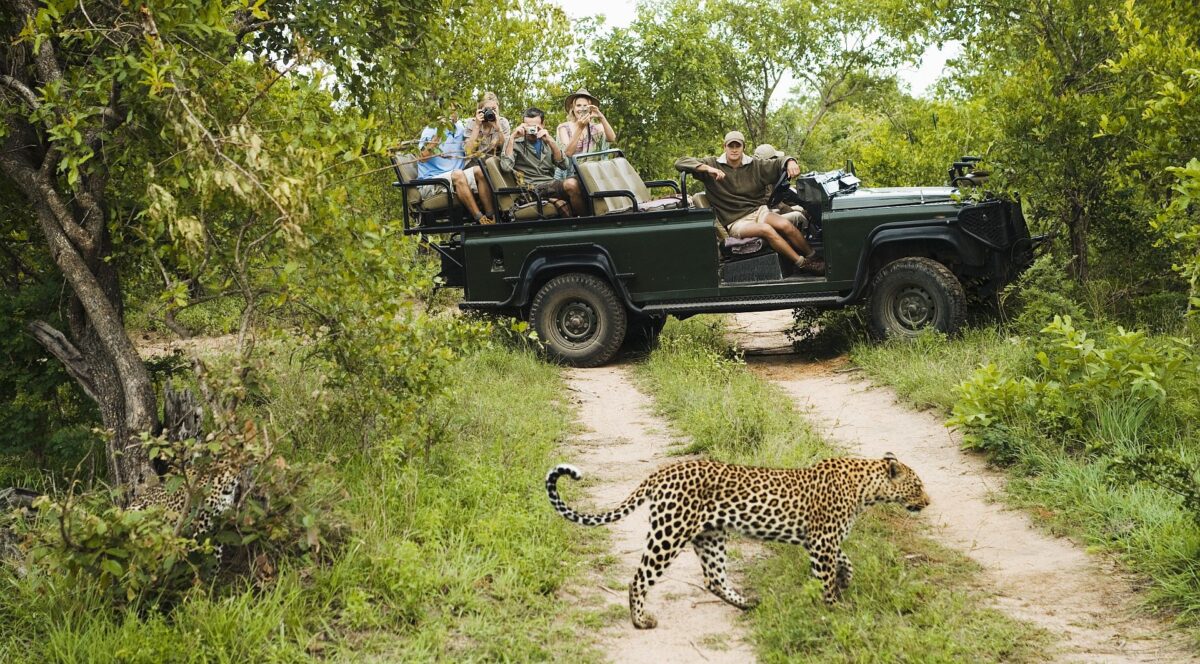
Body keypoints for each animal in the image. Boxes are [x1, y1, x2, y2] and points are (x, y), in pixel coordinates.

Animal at [544, 453, 926, 629]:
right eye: (918, 486)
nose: (928, 501)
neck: (867, 489)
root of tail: (661, 472)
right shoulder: (821, 542)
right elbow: (826, 577)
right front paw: (833, 609)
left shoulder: (820, 542)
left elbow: (845, 561)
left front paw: (845, 581)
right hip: (670, 532)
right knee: (639, 578)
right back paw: (641, 621)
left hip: (710, 536)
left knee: (713, 578)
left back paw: (746, 603)